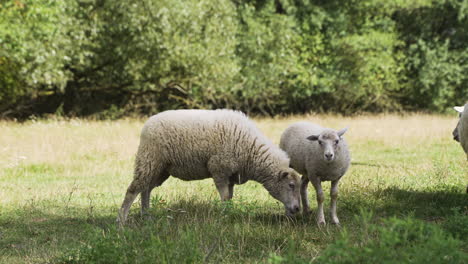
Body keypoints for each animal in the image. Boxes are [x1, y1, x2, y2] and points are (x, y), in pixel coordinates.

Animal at [116, 108, 300, 224]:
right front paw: (225, 216)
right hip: (149, 159)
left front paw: (230, 213)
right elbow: (224, 197)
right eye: (291, 185)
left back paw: (146, 215)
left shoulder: (231, 175)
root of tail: (148, 123)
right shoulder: (219, 168)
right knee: (133, 189)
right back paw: (122, 221)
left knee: (146, 189)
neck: (251, 152)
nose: (297, 208)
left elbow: (229, 197)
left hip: (161, 169)